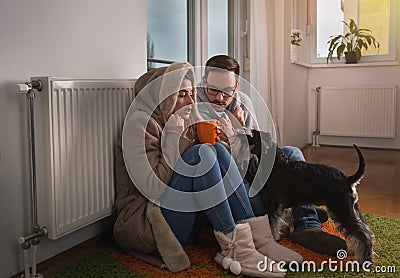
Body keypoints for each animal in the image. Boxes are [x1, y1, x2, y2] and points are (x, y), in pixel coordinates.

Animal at [241, 130, 376, 262]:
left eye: (251, 134)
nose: (239, 133)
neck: (276, 163)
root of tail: (348, 179)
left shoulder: (273, 206)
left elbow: (272, 227)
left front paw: (274, 242)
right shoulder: (281, 207)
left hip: (342, 210)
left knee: (364, 236)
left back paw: (365, 260)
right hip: (351, 209)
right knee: (366, 230)